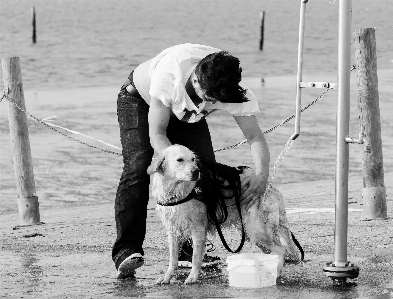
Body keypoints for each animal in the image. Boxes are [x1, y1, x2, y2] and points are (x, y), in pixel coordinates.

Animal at [148, 145, 304, 286]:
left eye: (193, 159)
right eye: (179, 160)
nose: (196, 172)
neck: (176, 192)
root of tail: (271, 188)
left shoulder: (198, 228)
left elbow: (196, 257)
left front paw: (192, 277)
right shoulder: (173, 230)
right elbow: (173, 260)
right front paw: (166, 278)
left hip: (256, 228)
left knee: (280, 250)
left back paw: (275, 273)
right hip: (251, 232)